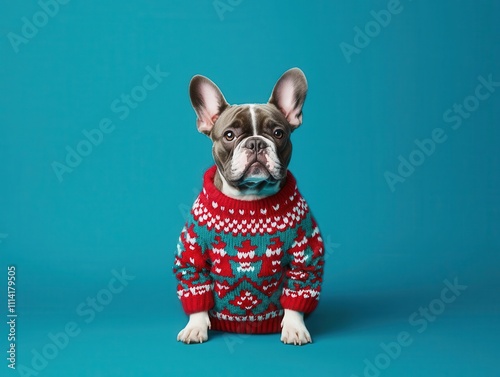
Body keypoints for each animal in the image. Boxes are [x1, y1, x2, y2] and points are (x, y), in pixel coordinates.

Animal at [175, 67, 324, 344]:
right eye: (229, 135)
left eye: (278, 133)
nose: (256, 142)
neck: (250, 199)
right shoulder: (192, 255)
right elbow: (196, 289)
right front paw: (195, 327)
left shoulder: (305, 256)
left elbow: (298, 291)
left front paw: (294, 327)